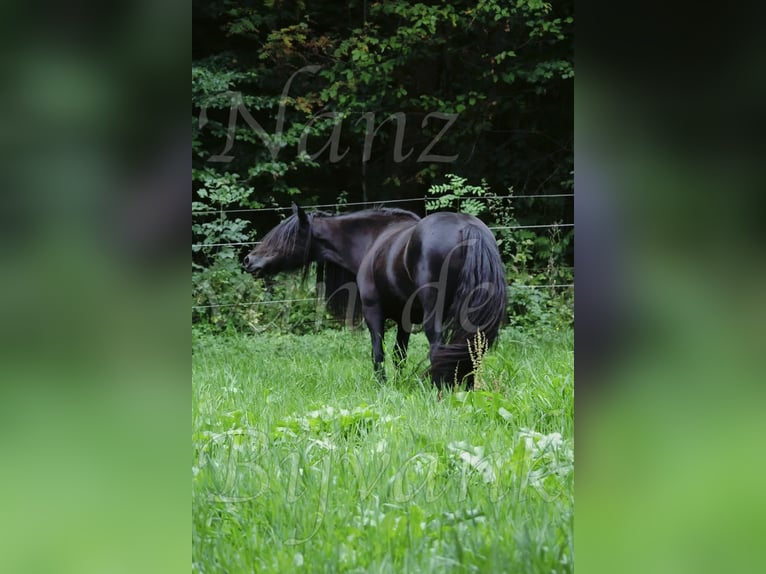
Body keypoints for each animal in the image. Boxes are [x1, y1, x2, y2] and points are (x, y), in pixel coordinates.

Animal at [243, 203, 508, 389]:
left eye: (282, 237)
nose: (248, 260)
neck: (373, 239)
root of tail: (468, 229)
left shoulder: (374, 312)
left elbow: (378, 352)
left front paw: (382, 385)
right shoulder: (404, 319)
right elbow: (399, 355)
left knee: (439, 347)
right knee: (471, 347)